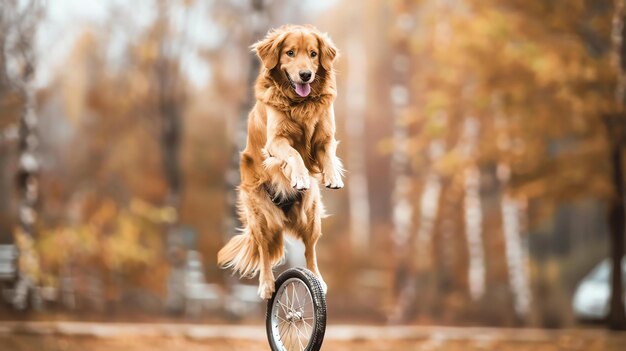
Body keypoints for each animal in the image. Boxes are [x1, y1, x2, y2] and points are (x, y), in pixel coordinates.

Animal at [216, 24, 342, 300]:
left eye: (314, 53)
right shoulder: (275, 141)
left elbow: (328, 152)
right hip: (261, 217)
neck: (300, 103)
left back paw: (318, 279)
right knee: (264, 250)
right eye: (290, 53)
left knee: (310, 250)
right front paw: (300, 176)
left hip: (310, 216)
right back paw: (266, 285)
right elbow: (294, 154)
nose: (305, 75)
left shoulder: (325, 134)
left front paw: (333, 177)